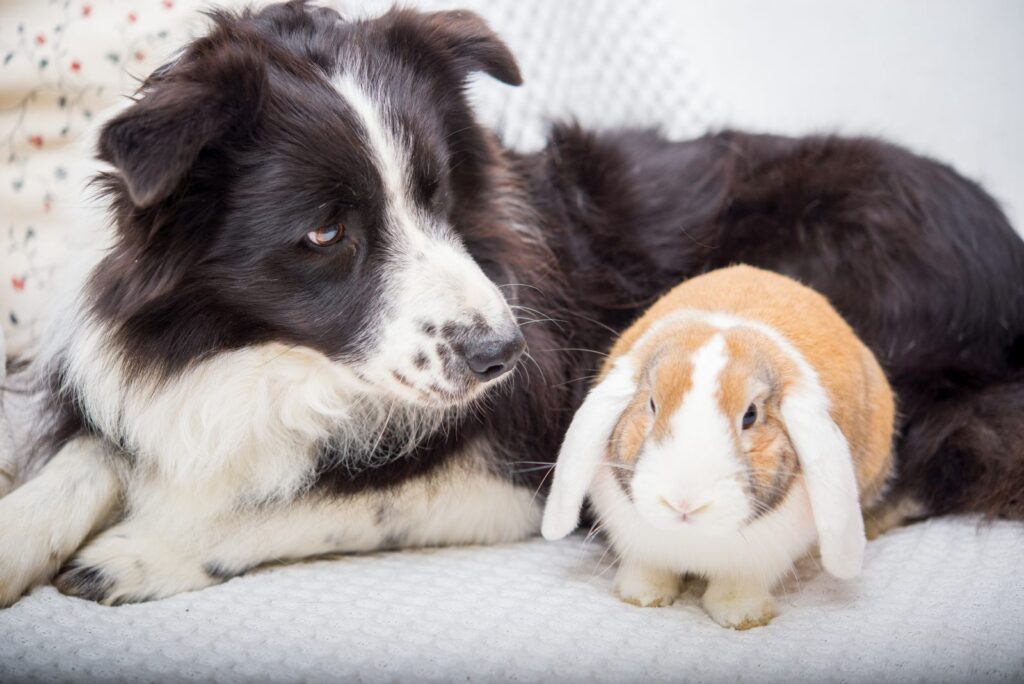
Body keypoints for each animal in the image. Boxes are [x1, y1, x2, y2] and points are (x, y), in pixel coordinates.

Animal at [544, 264, 897, 626]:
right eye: (652, 404)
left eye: (750, 415)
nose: (683, 502)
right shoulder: (641, 546)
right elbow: (649, 568)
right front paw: (641, 596)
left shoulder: (757, 562)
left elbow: (740, 585)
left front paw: (741, 616)